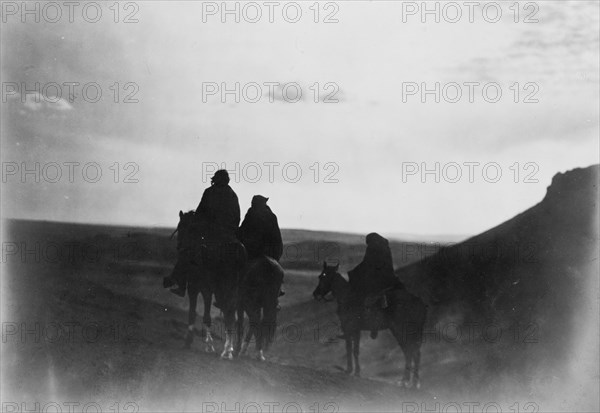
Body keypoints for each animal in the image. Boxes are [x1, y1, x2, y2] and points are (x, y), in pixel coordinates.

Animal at [169, 209, 246, 358]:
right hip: (234, 289)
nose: (179, 246)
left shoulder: (197, 288)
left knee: (227, 313)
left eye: (181, 227)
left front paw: (197, 342)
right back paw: (229, 349)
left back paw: (226, 350)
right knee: (232, 314)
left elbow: (196, 313)